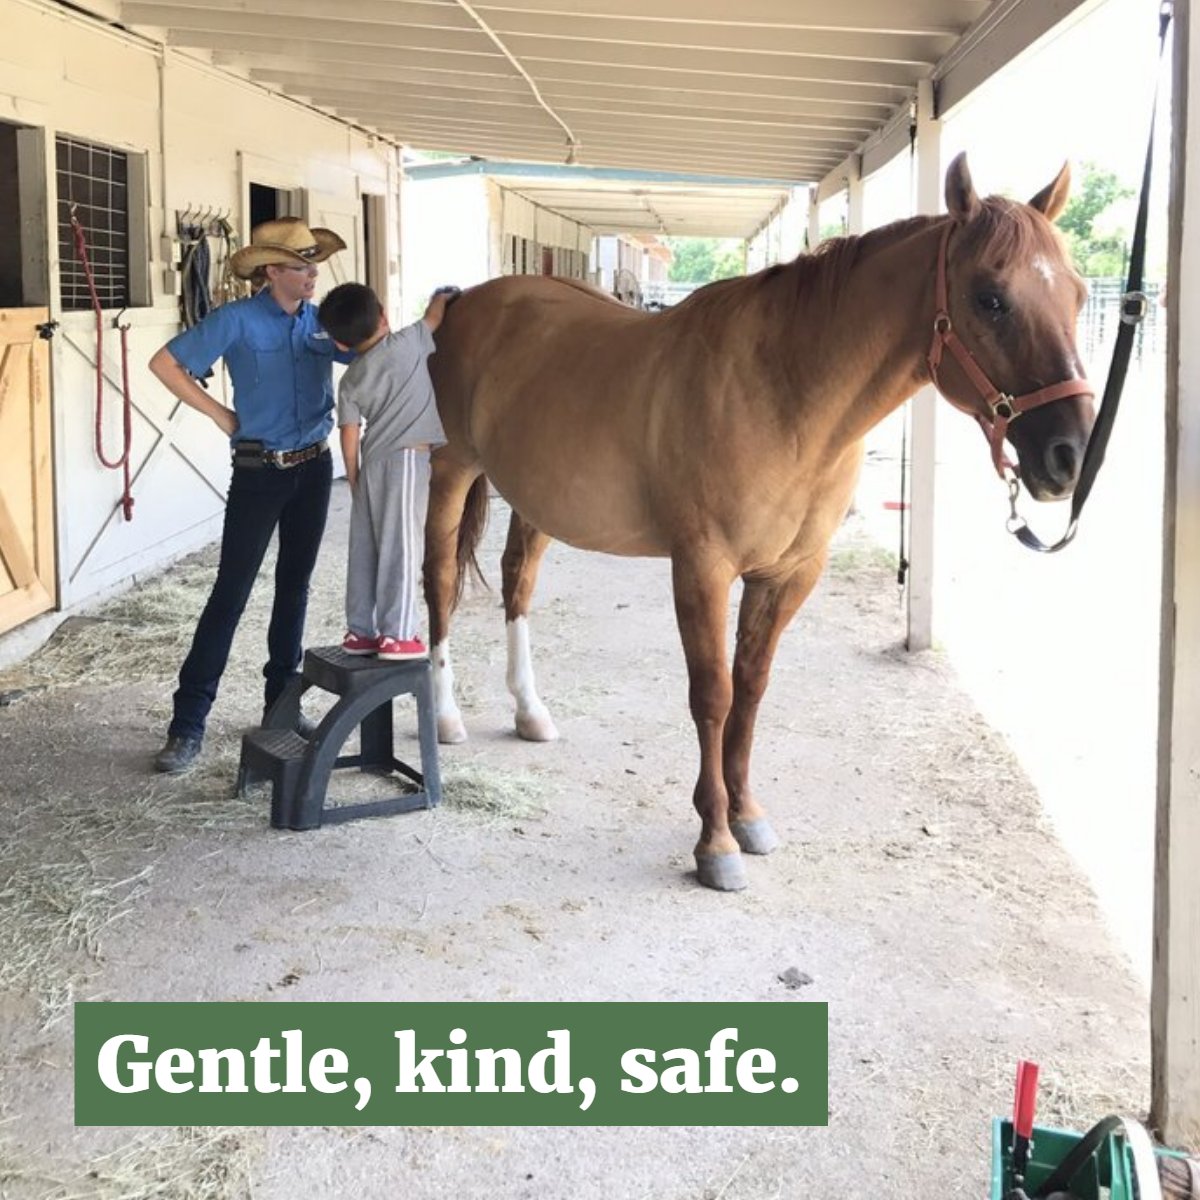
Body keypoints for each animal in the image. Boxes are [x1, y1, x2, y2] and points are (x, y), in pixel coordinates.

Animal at [423, 153, 1096, 891]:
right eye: (990, 298)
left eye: (1078, 295)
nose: (1069, 456)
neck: (784, 394)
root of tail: (467, 301)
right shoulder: (703, 568)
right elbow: (713, 696)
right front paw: (714, 842)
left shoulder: (788, 573)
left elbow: (751, 689)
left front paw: (746, 816)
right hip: (451, 470)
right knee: (438, 584)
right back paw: (445, 717)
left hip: (535, 497)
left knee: (517, 583)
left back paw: (529, 712)